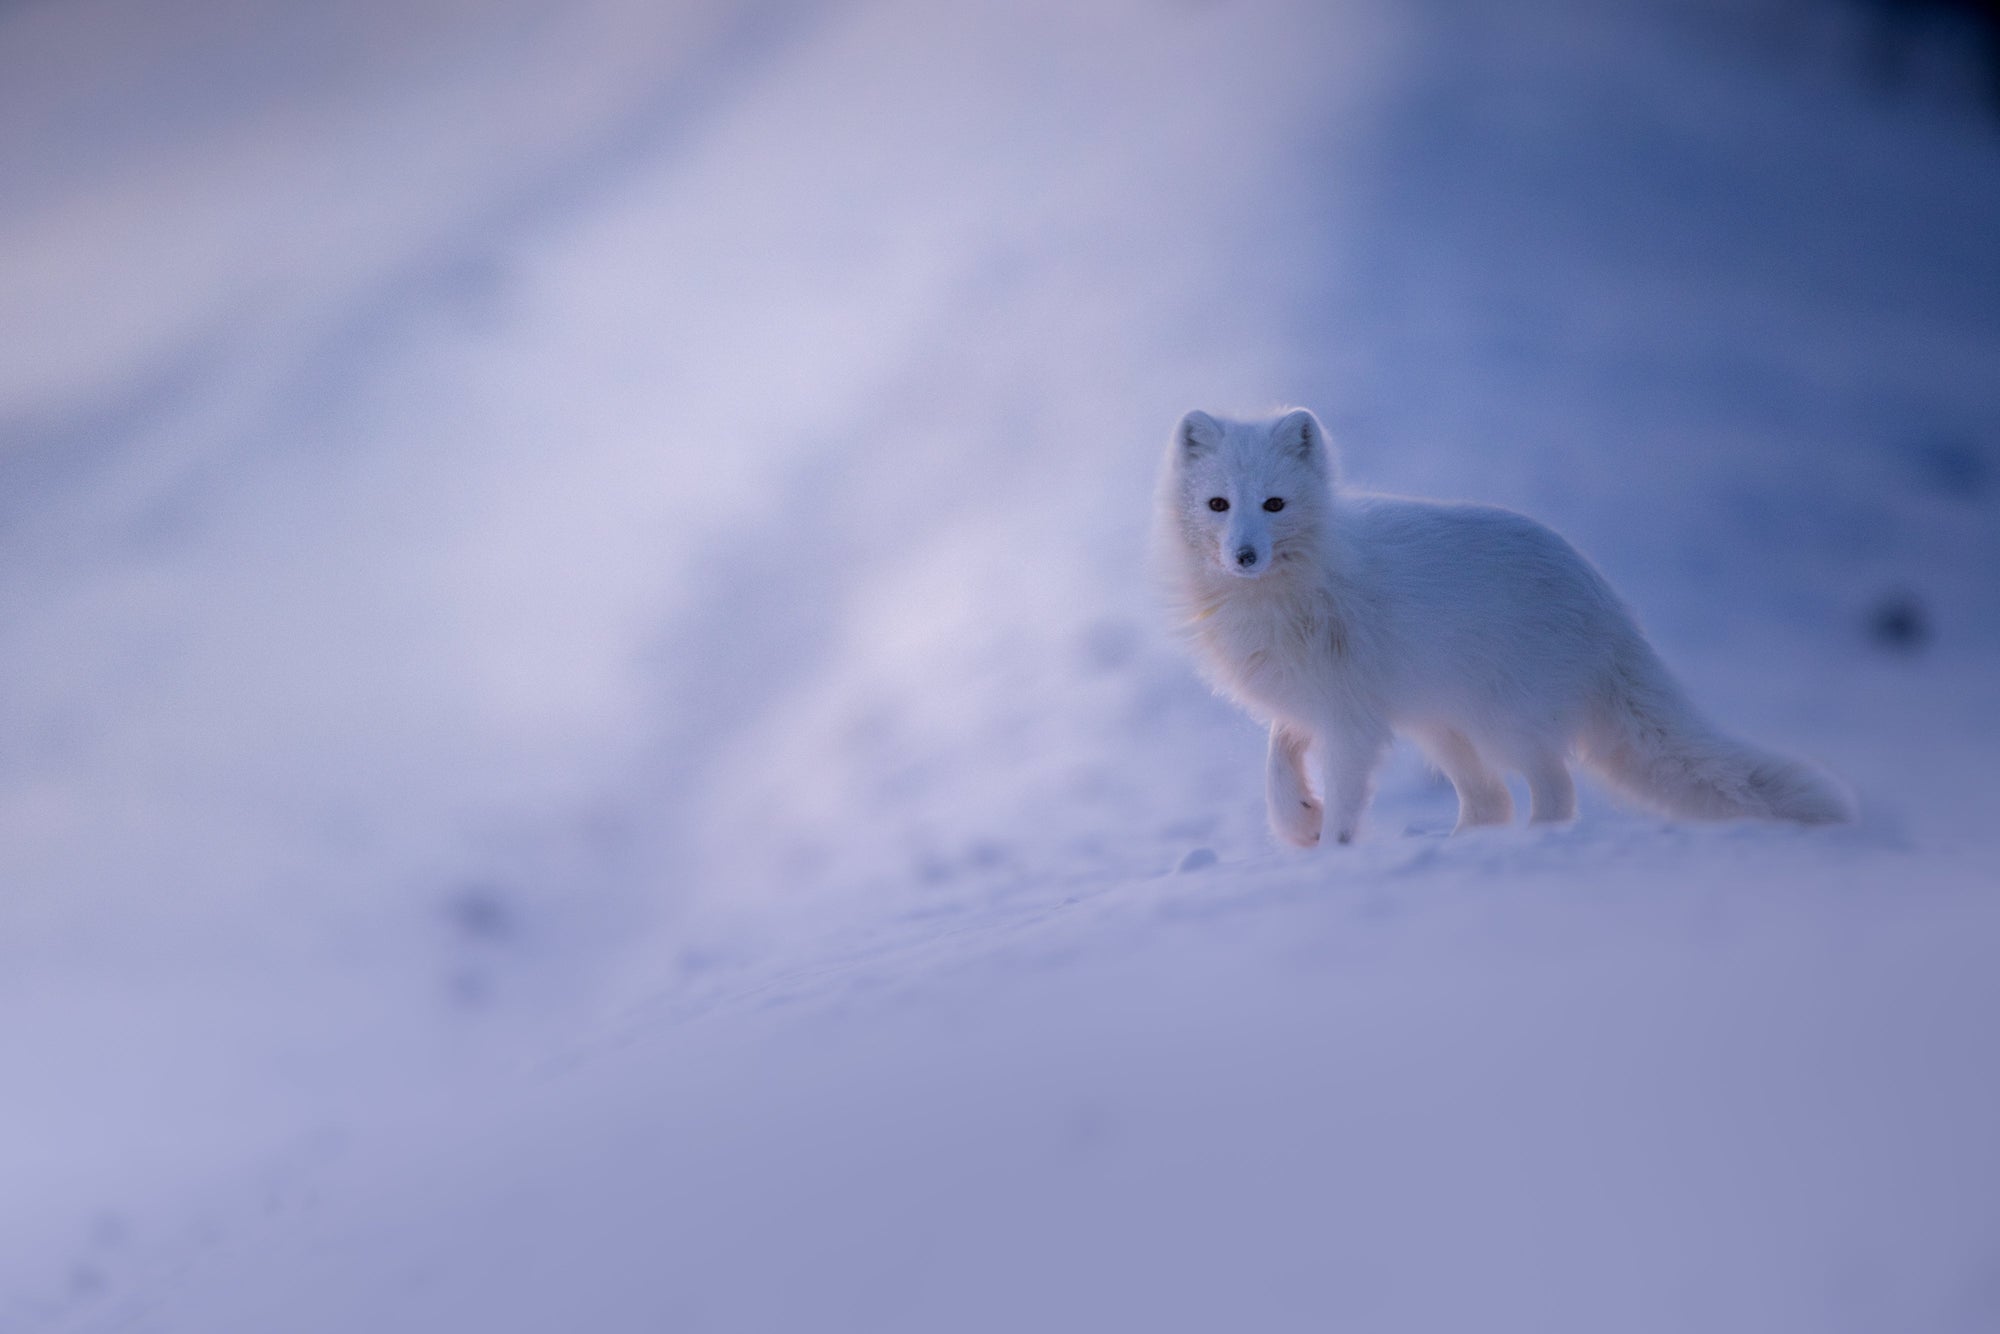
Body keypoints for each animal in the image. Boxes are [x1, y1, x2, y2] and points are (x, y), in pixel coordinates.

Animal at [1168, 410, 1848, 844]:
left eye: (1274, 504)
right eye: (1218, 505)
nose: (1245, 556)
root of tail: (1607, 605)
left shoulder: (1351, 720)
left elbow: (1340, 797)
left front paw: (1332, 849)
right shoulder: (1313, 700)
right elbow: (1277, 761)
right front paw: (1298, 822)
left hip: (1502, 724)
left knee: (1554, 790)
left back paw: (1530, 844)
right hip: (1442, 725)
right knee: (1491, 801)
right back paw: (1458, 846)